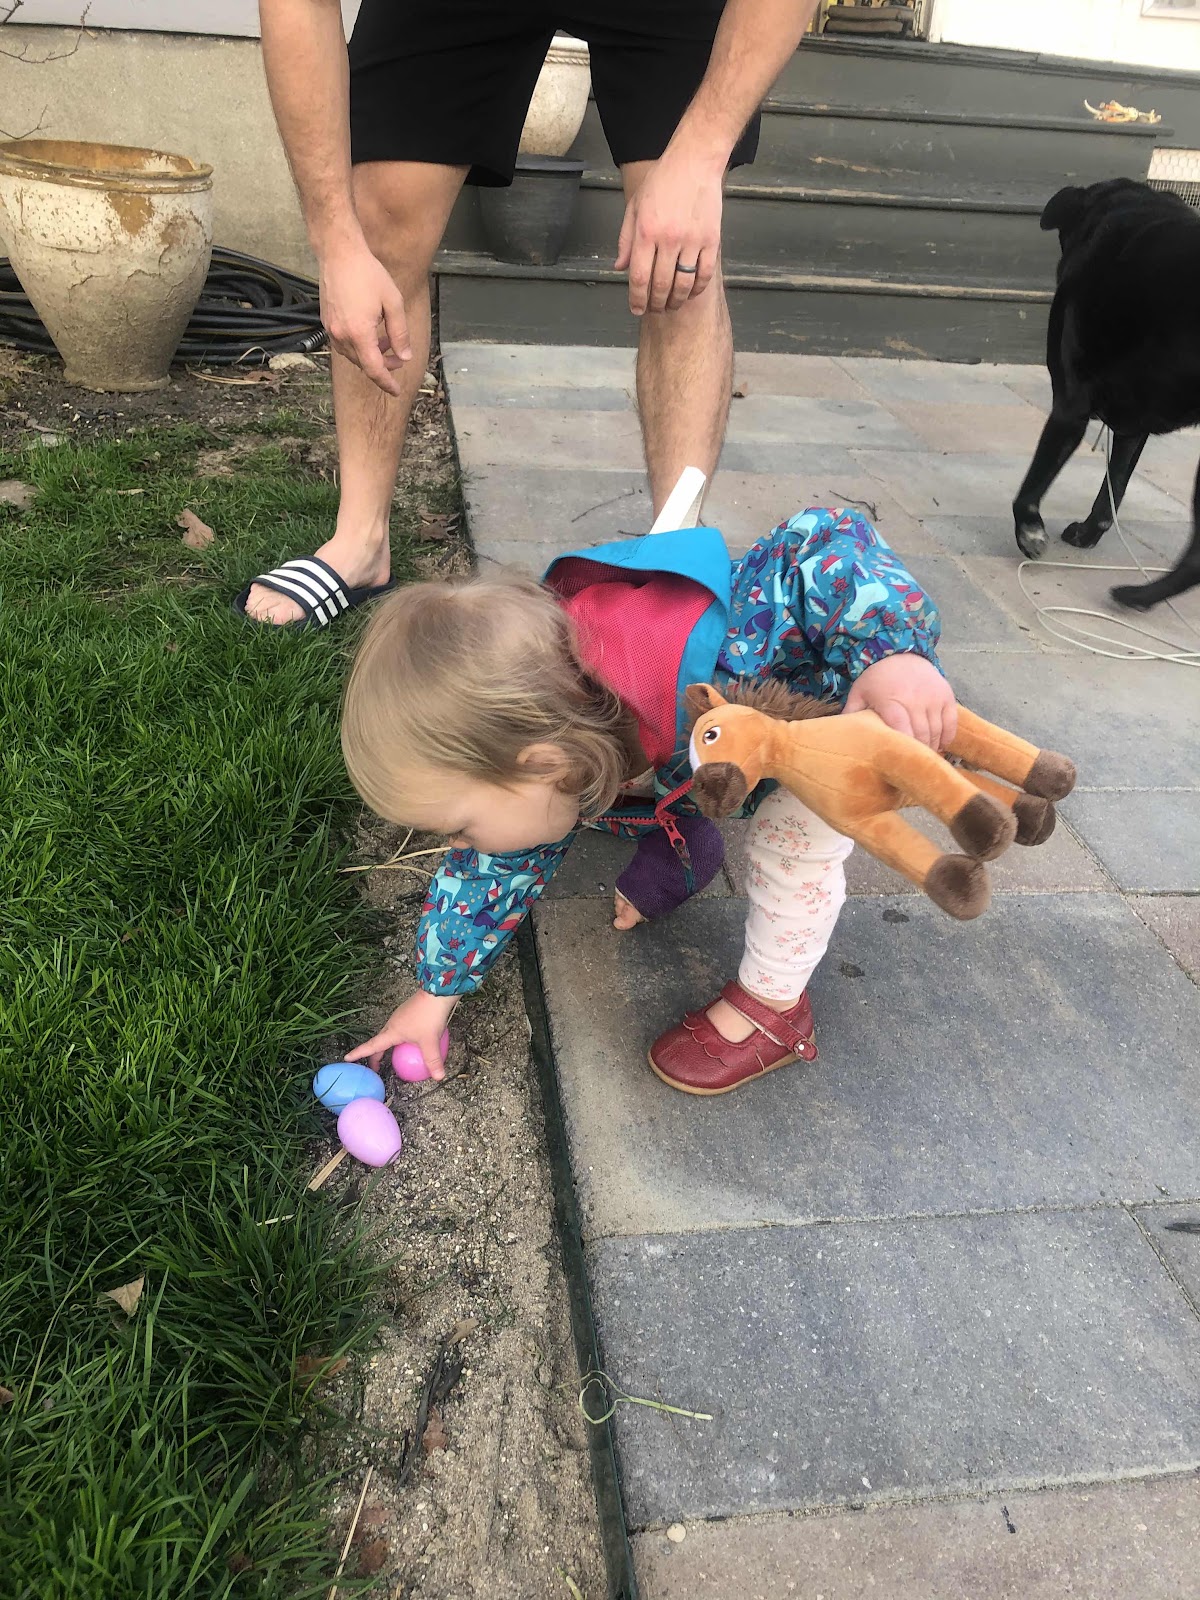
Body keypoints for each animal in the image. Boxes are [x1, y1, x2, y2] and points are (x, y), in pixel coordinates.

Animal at [1012, 177, 1200, 610]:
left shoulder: (1070, 406)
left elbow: (1031, 486)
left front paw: (1030, 530)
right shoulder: (1132, 425)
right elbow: (1112, 489)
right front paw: (1086, 534)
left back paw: (1138, 595)